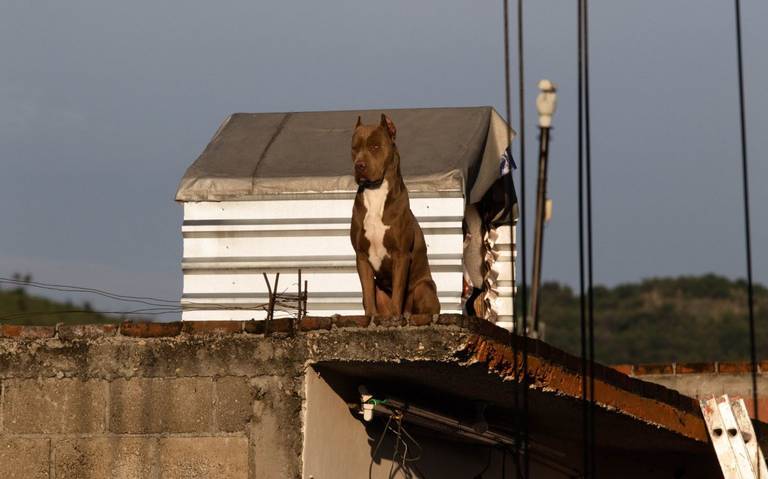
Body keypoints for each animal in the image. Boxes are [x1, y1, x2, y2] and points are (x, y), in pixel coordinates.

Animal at [352, 112, 440, 316]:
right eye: (354, 148)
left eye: (375, 146)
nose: (359, 165)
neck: (376, 191)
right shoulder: (361, 256)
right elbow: (368, 293)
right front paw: (370, 316)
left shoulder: (401, 255)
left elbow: (398, 292)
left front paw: (395, 316)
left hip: (424, 288)